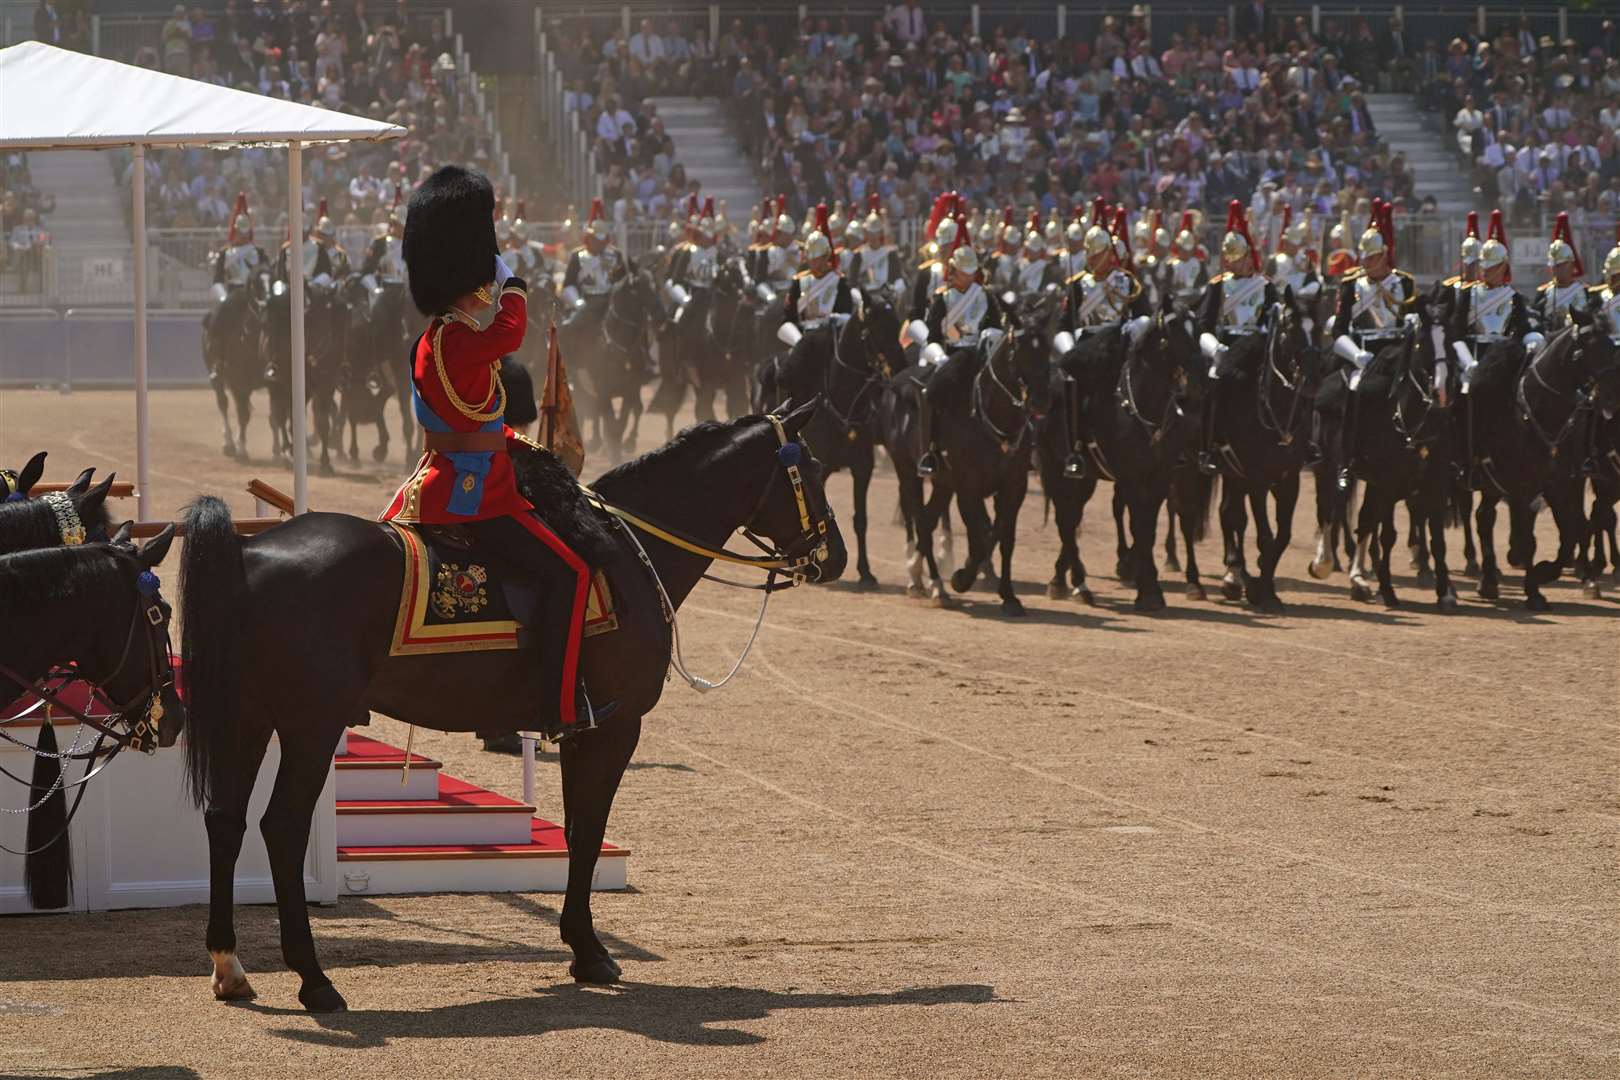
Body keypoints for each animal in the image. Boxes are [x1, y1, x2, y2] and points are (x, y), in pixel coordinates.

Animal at [174, 404, 848, 1016]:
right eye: (813, 469)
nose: (836, 556)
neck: (629, 554)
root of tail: (249, 554)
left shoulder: (585, 731)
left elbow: (579, 831)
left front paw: (581, 946)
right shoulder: (613, 726)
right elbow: (587, 831)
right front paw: (589, 951)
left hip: (249, 719)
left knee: (225, 821)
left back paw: (229, 966)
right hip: (311, 725)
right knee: (281, 828)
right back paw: (314, 980)